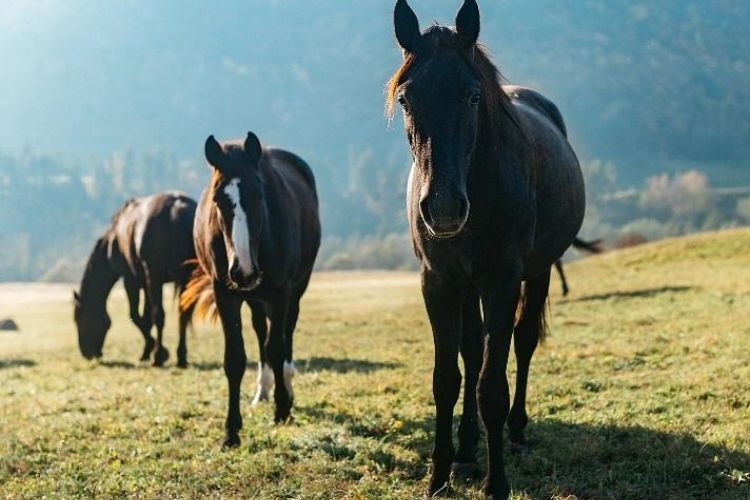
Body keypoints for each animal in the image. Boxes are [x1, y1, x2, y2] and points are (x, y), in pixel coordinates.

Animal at [74, 191, 200, 368]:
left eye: (79, 319)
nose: (87, 354)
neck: (113, 241)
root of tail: (178, 208)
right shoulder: (146, 284)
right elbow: (146, 318)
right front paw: (147, 352)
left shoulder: (131, 280)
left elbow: (135, 316)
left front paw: (158, 351)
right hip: (185, 279)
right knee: (182, 314)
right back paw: (181, 357)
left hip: (155, 279)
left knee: (160, 315)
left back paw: (158, 358)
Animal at [185, 131, 324, 448]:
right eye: (218, 199)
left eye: (259, 194)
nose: (244, 270)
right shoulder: (225, 294)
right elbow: (235, 358)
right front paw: (231, 430)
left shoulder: (282, 291)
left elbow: (276, 347)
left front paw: (283, 409)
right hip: (254, 299)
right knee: (262, 330)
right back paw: (264, 389)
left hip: (295, 289)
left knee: (286, 333)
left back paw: (285, 385)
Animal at [390, 1, 592, 498]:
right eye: (406, 100)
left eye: (473, 96)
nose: (443, 208)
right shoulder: (439, 283)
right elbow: (448, 379)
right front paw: (439, 476)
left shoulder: (501, 281)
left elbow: (492, 388)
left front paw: (496, 482)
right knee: (472, 351)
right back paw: (466, 450)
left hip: (537, 272)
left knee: (523, 343)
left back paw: (516, 431)